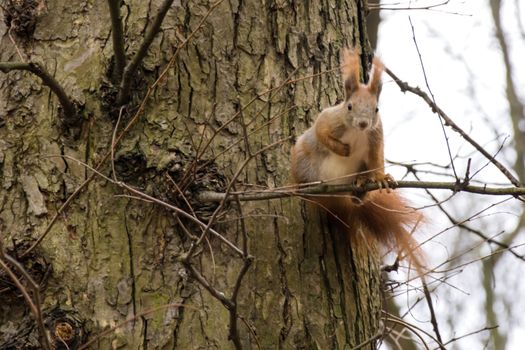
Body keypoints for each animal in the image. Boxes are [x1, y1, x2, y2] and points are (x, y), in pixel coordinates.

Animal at [290, 47, 422, 268]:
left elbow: (377, 160)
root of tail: (334, 196)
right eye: (349, 106)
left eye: (376, 109)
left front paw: (381, 178)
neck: (357, 132)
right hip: (302, 159)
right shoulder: (328, 119)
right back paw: (300, 187)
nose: (362, 123)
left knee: (359, 194)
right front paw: (343, 150)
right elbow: (321, 133)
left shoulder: (376, 137)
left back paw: (360, 185)